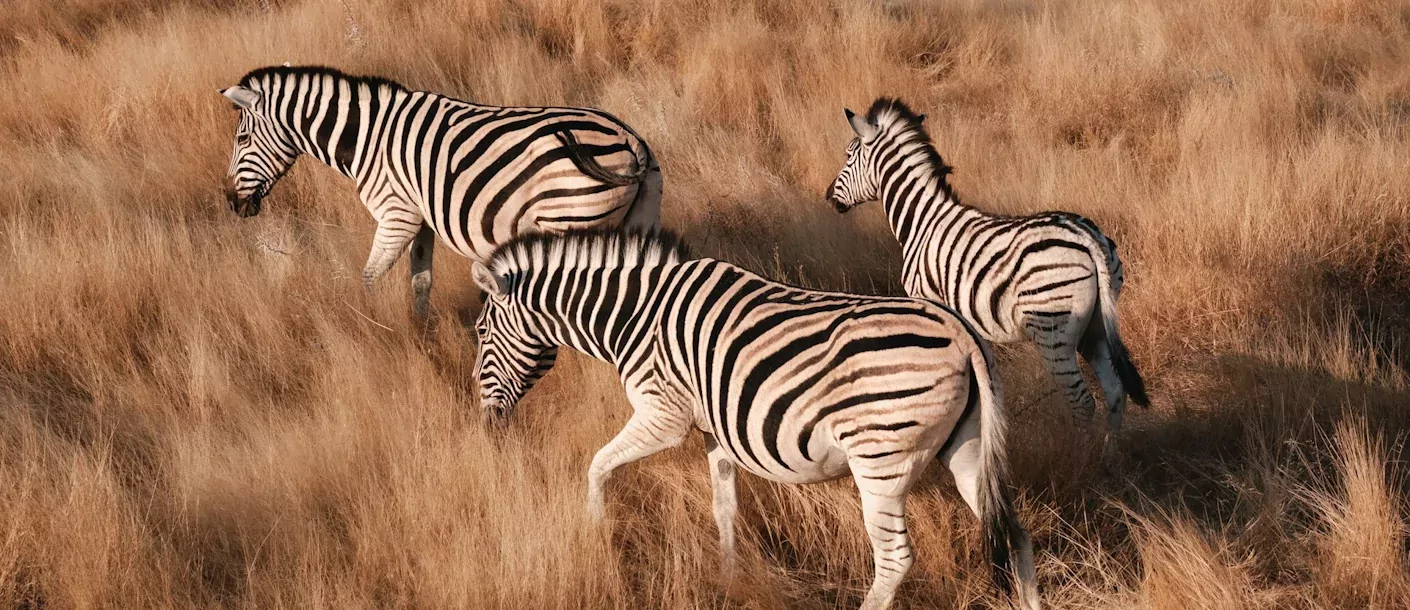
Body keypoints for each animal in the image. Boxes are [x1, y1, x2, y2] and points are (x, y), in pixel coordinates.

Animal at [217, 64, 662, 315]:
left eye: (241, 139)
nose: (232, 203)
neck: (367, 139)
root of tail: (629, 139)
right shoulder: (422, 218)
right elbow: (420, 281)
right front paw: (421, 337)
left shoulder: (396, 213)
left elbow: (370, 277)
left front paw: (374, 329)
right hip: (641, 216)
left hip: (568, 219)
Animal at [476, 226, 1049, 608]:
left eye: (480, 333)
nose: (486, 425)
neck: (633, 316)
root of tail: (961, 332)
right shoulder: (715, 430)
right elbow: (724, 507)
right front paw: (731, 579)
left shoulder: (664, 414)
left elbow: (597, 465)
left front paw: (597, 534)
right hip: (966, 448)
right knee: (1015, 535)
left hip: (879, 455)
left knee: (894, 560)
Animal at [823, 97, 1144, 433]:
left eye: (848, 155)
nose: (829, 197)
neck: (922, 221)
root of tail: (1087, 237)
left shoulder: (928, 303)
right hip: (1096, 325)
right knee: (1115, 389)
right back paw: (1111, 448)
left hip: (1053, 328)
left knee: (1083, 403)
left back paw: (1081, 449)